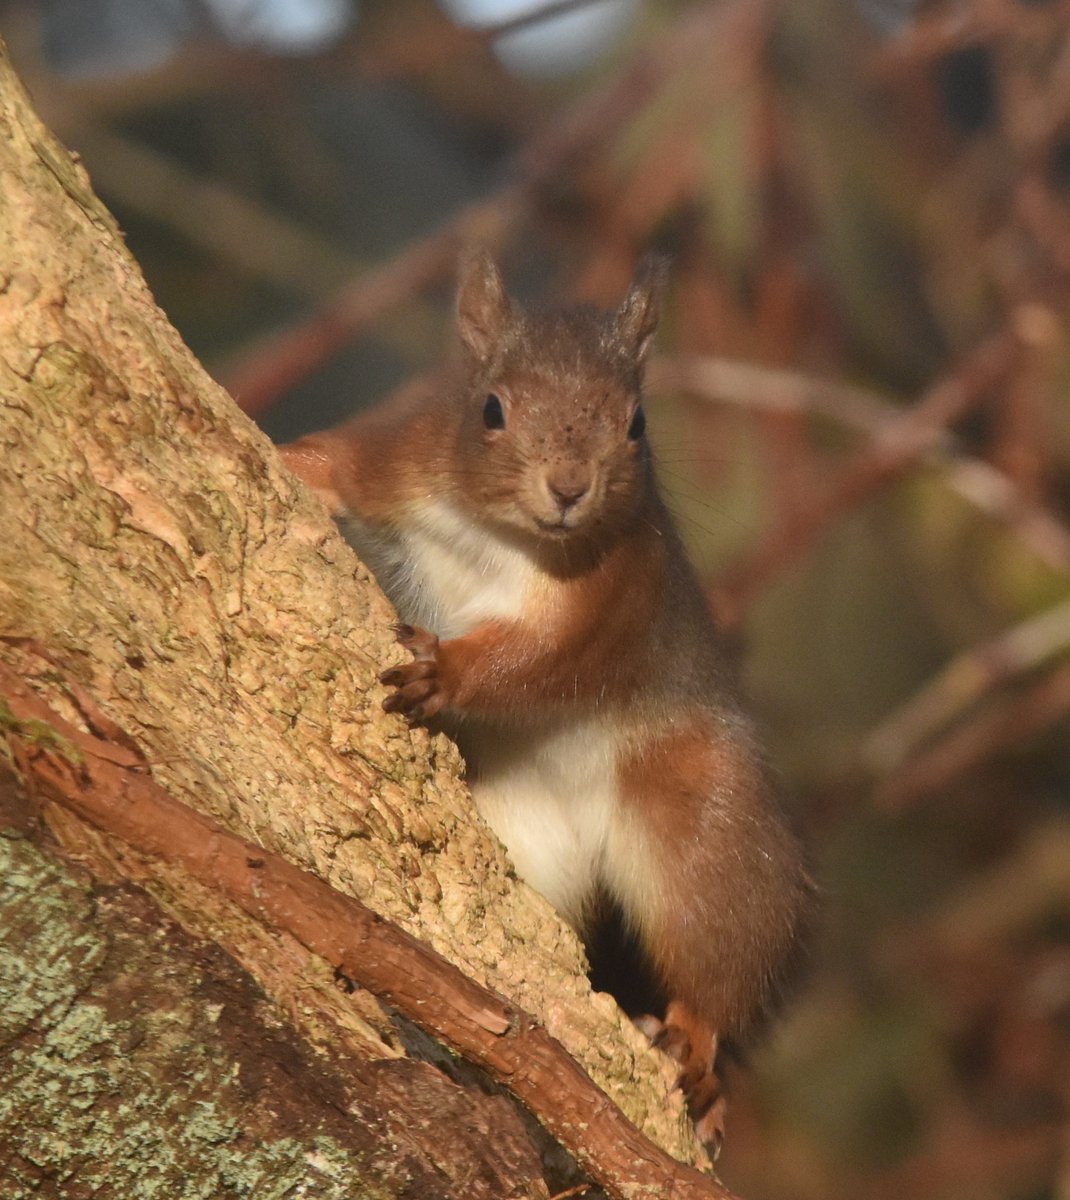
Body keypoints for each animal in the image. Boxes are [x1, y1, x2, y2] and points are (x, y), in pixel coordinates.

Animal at [278, 253, 810, 1152]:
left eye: (636, 424)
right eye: (490, 408)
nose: (568, 487)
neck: (502, 538)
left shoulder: (608, 593)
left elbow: (536, 663)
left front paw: (446, 671)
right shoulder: (405, 458)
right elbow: (339, 463)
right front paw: (286, 457)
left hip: (709, 823)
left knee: (719, 950)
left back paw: (697, 1045)